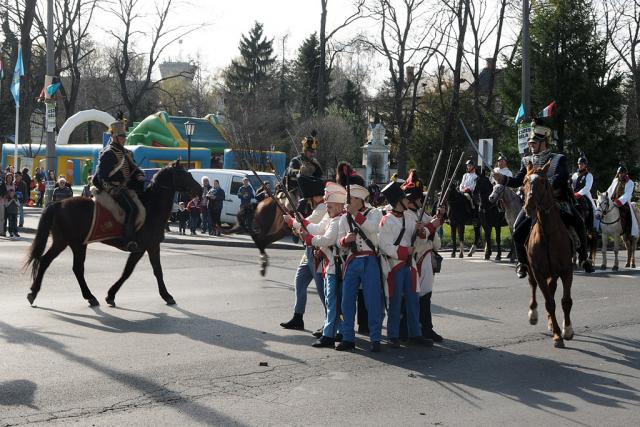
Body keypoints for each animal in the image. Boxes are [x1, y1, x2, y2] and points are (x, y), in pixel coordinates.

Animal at [25, 161, 200, 308]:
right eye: (184, 174)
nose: (200, 189)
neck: (151, 208)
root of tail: (58, 204)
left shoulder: (145, 248)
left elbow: (135, 271)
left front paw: (111, 295)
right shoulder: (147, 247)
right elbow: (144, 271)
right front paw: (166, 295)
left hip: (63, 241)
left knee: (46, 261)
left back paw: (34, 293)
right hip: (76, 243)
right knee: (76, 268)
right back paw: (89, 296)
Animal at [524, 162, 576, 350]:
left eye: (543, 182)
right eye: (524, 181)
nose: (529, 207)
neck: (547, 233)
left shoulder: (567, 270)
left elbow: (565, 301)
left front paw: (567, 330)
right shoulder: (538, 271)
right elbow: (549, 303)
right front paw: (557, 335)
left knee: (552, 289)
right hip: (532, 270)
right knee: (533, 286)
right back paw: (534, 314)